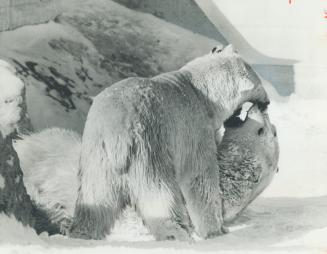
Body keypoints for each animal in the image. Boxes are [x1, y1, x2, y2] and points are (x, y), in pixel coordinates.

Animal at [66, 44, 270, 240]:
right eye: (260, 87)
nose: (267, 103)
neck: (201, 91)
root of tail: (116, 131)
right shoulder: (194, 129)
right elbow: (200, 177)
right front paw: (216, 230)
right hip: (148, 146)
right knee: (159, 192)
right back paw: (177, 233)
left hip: (97, 154)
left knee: (96, 197)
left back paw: (83, 233)